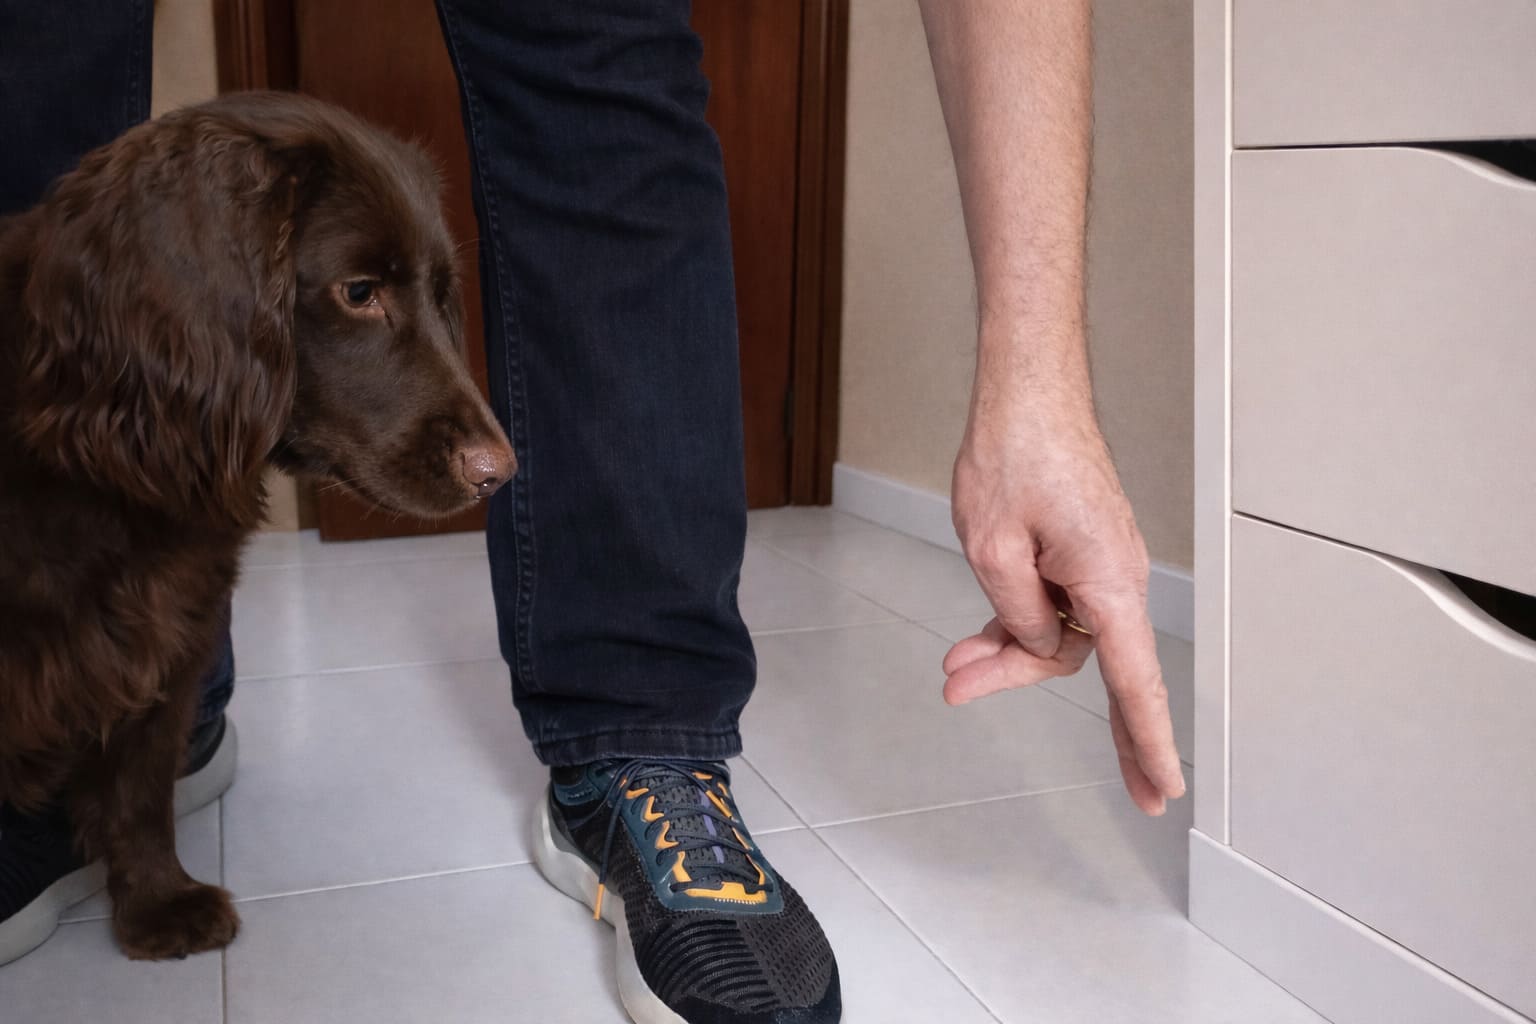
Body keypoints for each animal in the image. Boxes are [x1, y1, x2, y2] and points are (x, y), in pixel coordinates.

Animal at [0, 92, 514, 959]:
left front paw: (157, 903)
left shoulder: (171, 633)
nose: (499, 472)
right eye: (358, 291)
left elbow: (140, 788)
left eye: (444, 291)